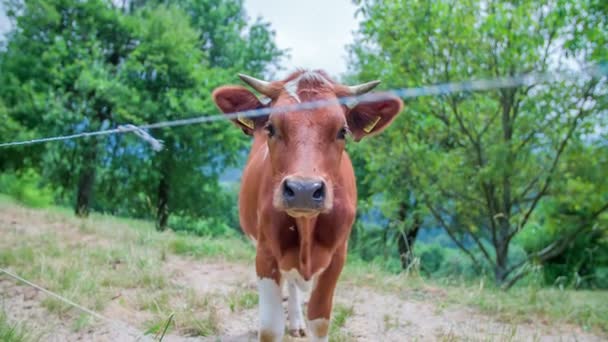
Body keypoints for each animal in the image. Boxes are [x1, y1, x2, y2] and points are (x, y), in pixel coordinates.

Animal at [211, 70, 402, 342]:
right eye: (271, 128)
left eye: (342, 131)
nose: (303, 190)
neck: (306, 227)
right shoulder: (265, 253)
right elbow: (270, 327)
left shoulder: (337, 257)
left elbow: (319, 320)